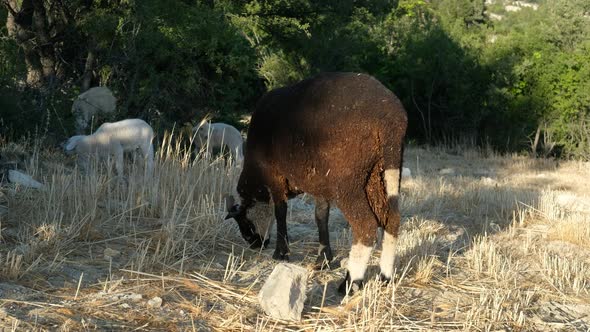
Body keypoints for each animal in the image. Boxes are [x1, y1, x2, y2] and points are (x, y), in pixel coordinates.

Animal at [224, 71, 410, 294]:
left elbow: (280, 213)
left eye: (244, 222)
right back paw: (385, 277)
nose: (254, 245)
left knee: (365, 225)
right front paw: (323, 258)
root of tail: (390, 119)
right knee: (392, 219)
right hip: (380, 174)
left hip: (349, 182)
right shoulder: (321, 186)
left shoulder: (275, 178)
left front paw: (281, 253)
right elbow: (321, 216)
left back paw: (350, 282)